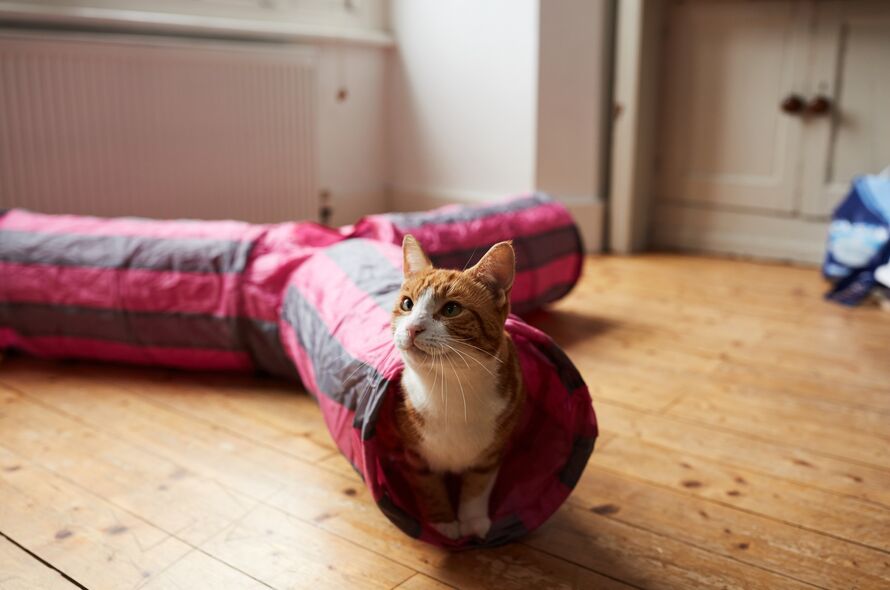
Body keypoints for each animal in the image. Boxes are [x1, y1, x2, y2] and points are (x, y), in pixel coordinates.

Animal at [392, 235, 524, 540]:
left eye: (451, 309)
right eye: (407, 304)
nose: (413, 328)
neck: (450, 388)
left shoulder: (492, 453)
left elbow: (478, 486)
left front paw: (472, 521)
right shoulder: (415, 456)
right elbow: (429, 487)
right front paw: (443, 522)